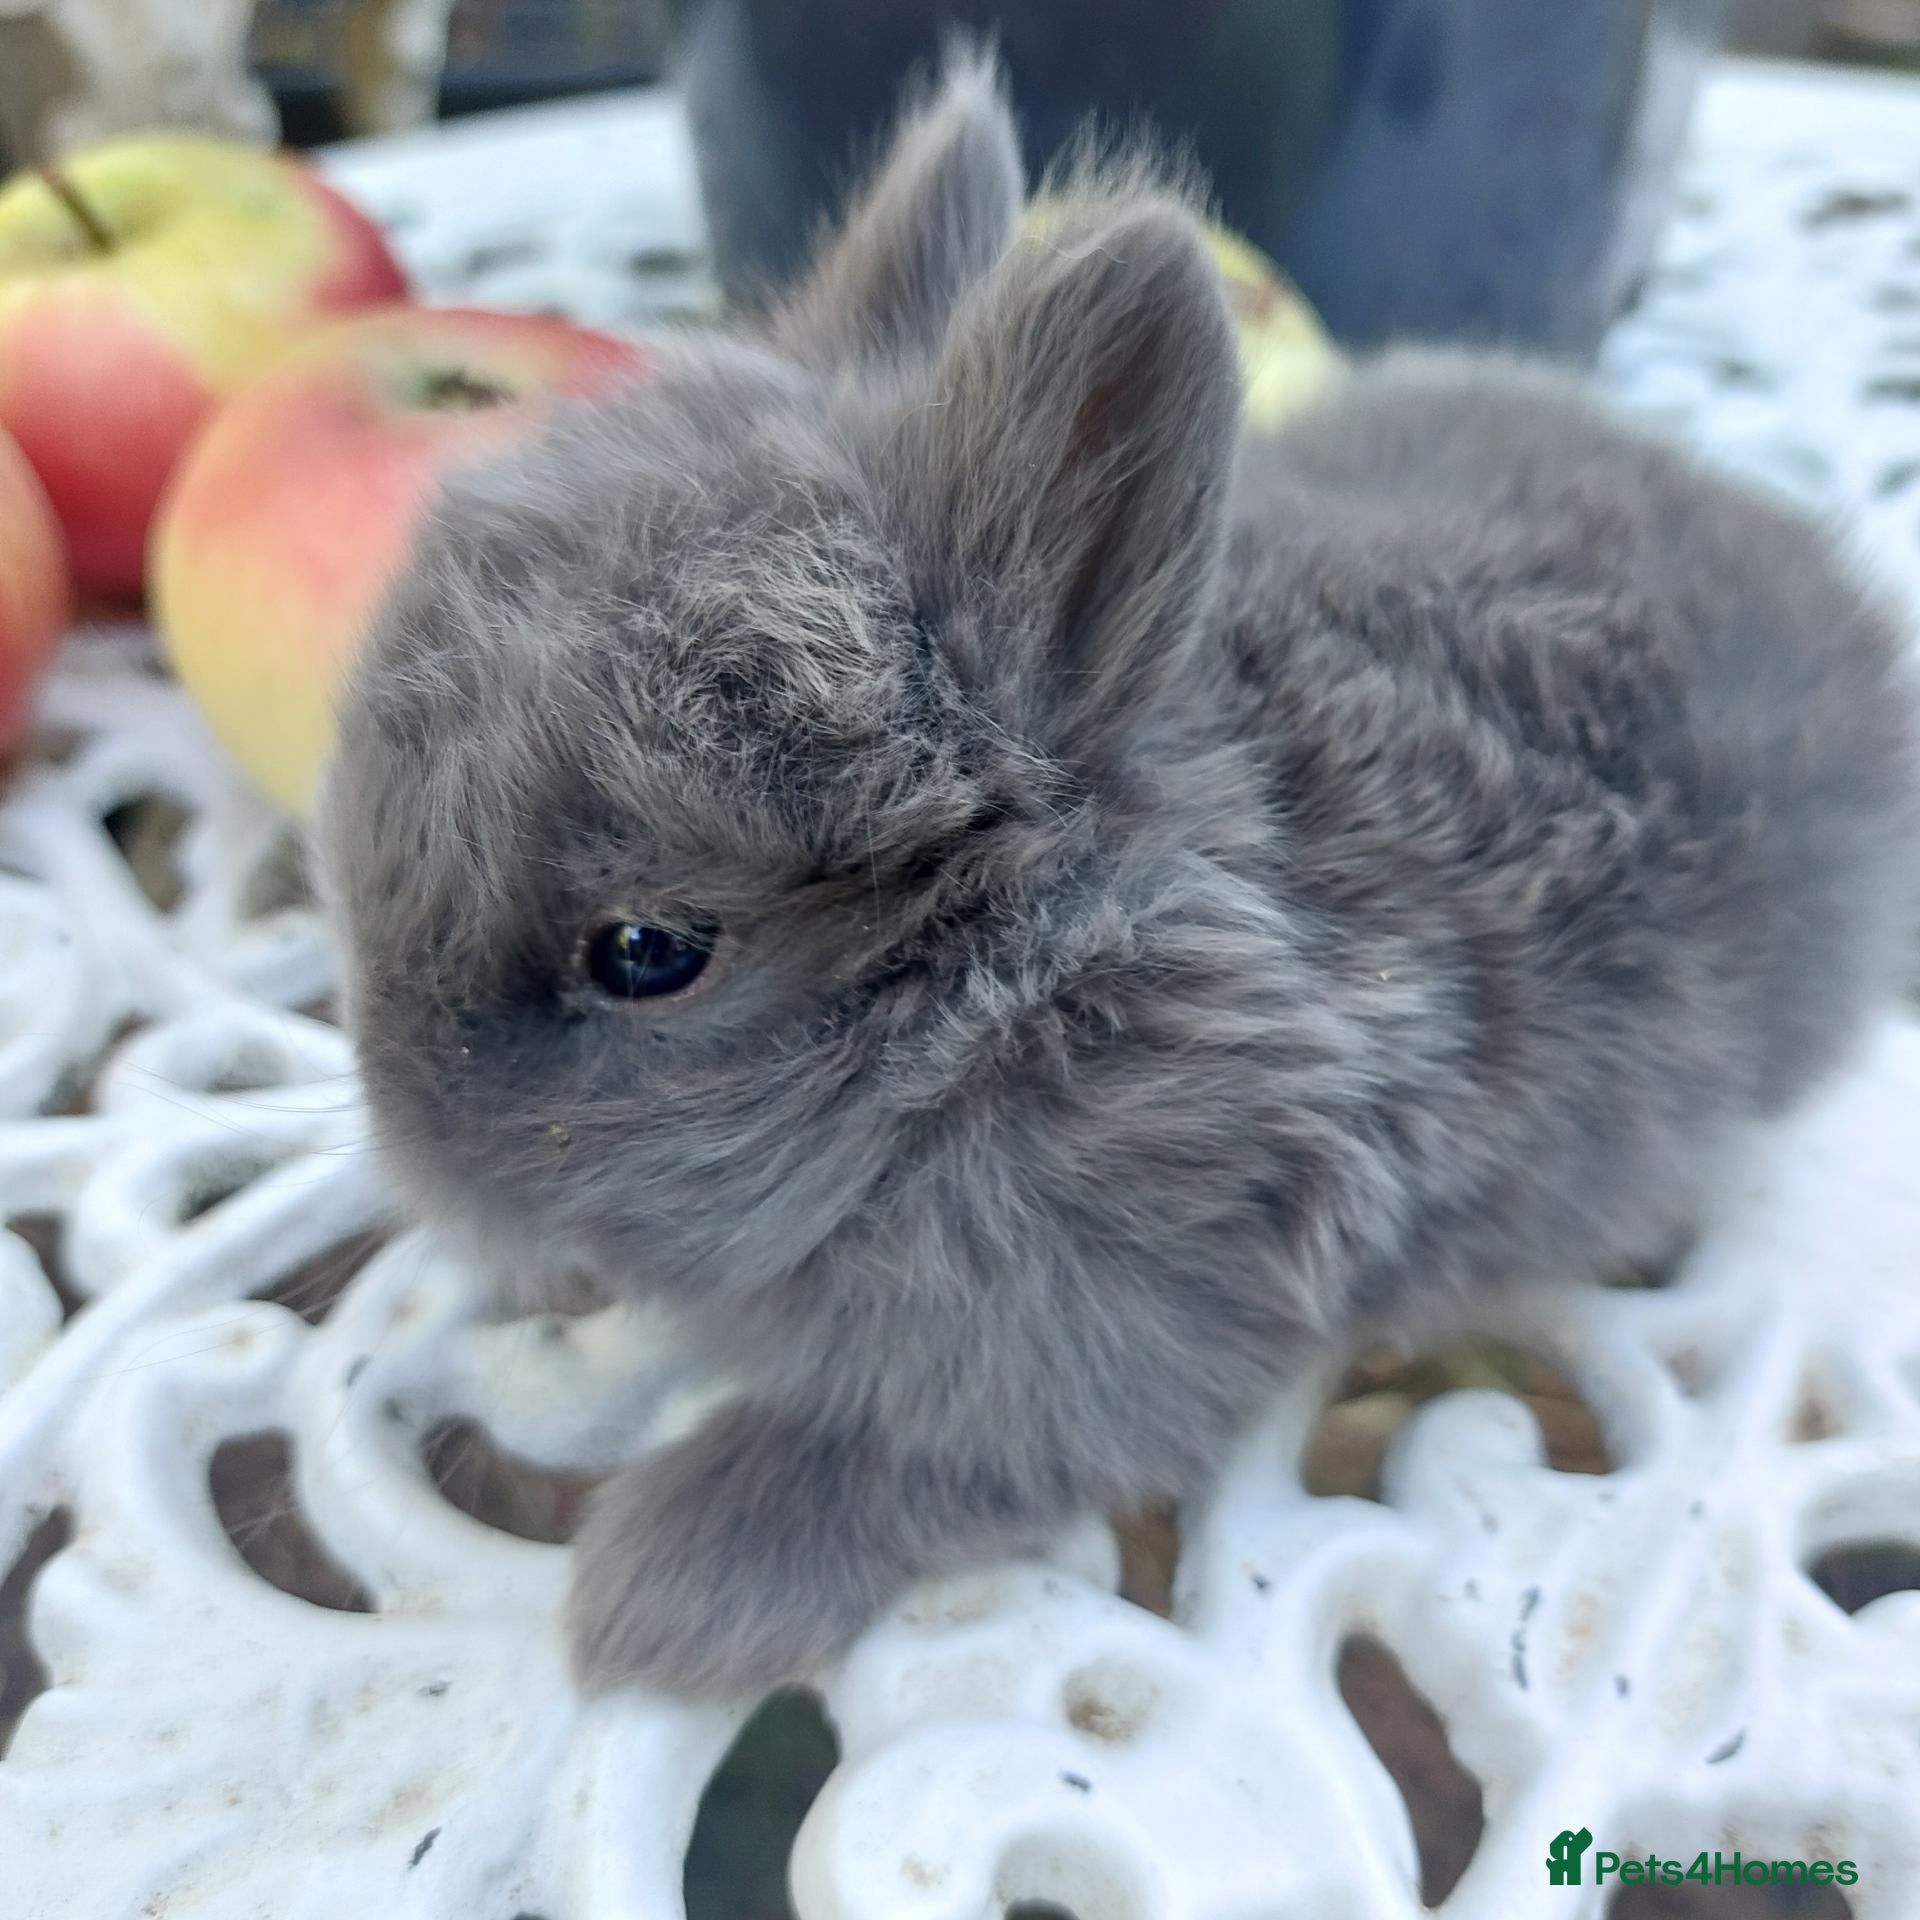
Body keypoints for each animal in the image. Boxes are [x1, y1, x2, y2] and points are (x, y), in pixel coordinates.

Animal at [318, 49, 1920, 1699]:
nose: (412, 1146)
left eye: (648, 952)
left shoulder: (1107, 1339)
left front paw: (657, 1599)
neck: (1021, 1007)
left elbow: (899, 1458)